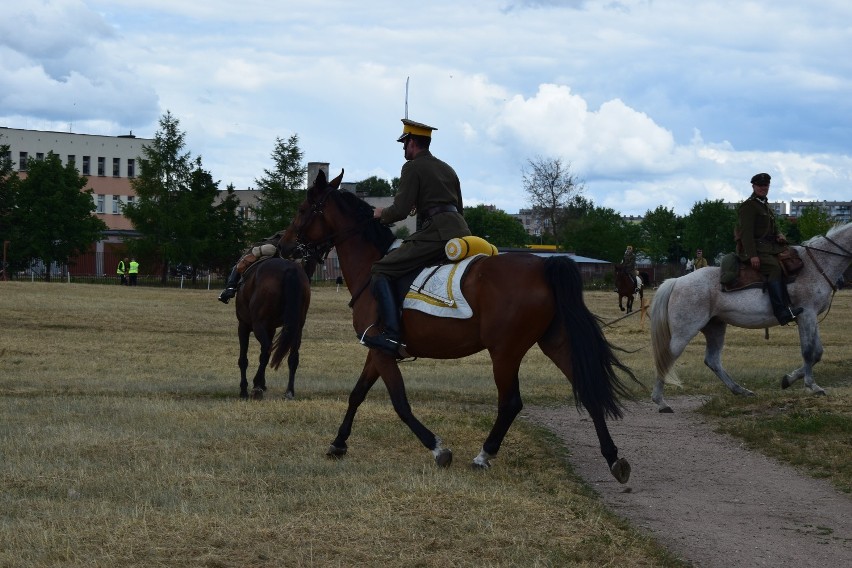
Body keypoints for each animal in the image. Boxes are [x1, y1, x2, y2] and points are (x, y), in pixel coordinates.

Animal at [235, 258, 312, 400]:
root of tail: (290, 269)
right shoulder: (270, 329)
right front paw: (262, 384)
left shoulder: (243, 325)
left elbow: (244, 359)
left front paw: (244, 389)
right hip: (297, 329)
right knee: (293, 357)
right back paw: (289, 391)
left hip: (258, 325)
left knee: (267, 350)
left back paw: (256, 387)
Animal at [288, 170, 640, 484]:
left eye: (303, 210)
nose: (284, 244)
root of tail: (543, 266)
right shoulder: (377, 350)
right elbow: (357, 394)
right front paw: (338, 443)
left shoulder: (382, 352)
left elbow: (400, 403)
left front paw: (437, 448)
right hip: (555, 342)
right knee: (588, 389)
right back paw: (613, 458)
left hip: (505, 352)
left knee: (511, 403)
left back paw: (484, 455)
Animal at [648, 222, 848, 412]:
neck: (816, 265)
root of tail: (677, 281)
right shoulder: (807, 315)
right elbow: (808, 351)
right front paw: (812, 386)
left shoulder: (809, 318)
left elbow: (817, 353)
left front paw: (788, 379)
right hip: (685, 331)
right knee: (667, 357)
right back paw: (661, 402)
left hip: (715, 327)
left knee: (713, 360)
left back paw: (741, 391)